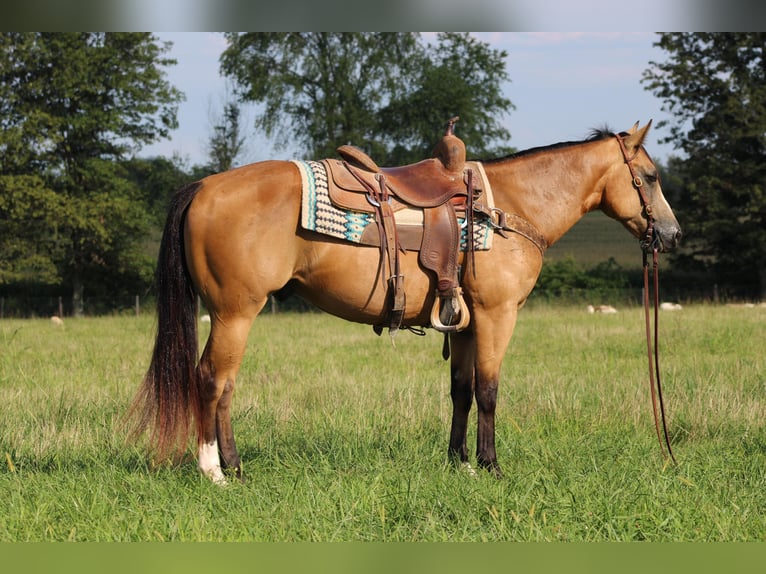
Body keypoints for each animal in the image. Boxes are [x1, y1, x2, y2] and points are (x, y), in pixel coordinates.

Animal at [130, 121, 684, 486]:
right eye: (653, 176)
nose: (672, 233)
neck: (510, 207)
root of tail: (203, 185)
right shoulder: (495, 316)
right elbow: (489, 391)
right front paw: (491, 466)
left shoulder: (464, 324)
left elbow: (461, 391)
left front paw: (459, 462)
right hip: (234, 312)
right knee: (211, 380)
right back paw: (215, 472)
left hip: (236, 315)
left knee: (224, 386)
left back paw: (237, 467)